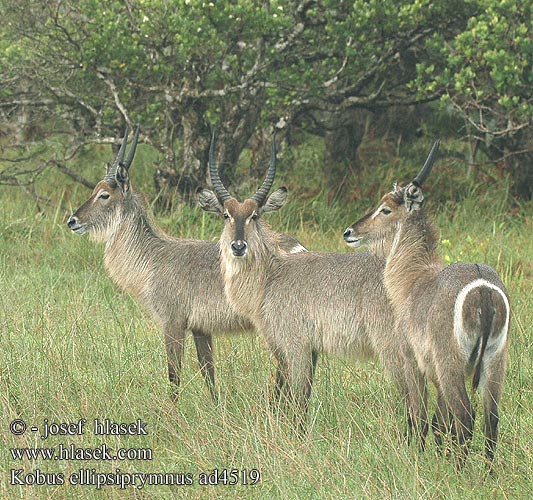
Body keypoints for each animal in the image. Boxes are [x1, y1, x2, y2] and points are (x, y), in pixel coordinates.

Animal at [66, 127, 304, 400]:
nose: (72, 220)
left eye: (104, 194)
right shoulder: (200, 327)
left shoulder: (172, 322)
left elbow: (174, 375)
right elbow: (208, 372)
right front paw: (215, 406)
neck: (153, 258)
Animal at [197, 135, 426, 440]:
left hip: (394, 350)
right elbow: (289, 393)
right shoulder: (301, 348)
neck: (271, 276)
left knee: (416, 397)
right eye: (225, 214)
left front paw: (297, 437)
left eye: (255, 215)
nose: (238, 246)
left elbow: (298, 396)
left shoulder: (296, 345)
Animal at [342, 141, 510, 468]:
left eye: (385, 208)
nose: (349, 232)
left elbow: (418, 414)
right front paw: (438, 454)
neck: (413, 279)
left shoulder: (412, 358)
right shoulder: (436, 372)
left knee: (466, 417)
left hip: (452, 363)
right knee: (490, 419)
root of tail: (484, 290)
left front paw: (417, 455)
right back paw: (487, 473)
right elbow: (440, 422)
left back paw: (459, 472)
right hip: (495, 361)